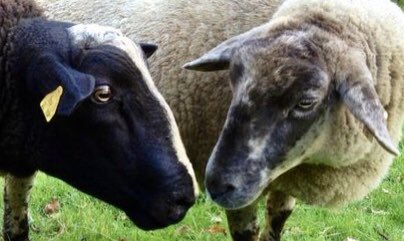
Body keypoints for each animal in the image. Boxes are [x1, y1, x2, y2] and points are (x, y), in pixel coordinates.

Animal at [38, 0, 404, 240]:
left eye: (306, 101)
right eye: (233, 79)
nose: (215, 183)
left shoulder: (285, 179)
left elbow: (277, 221)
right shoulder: (244, 191)